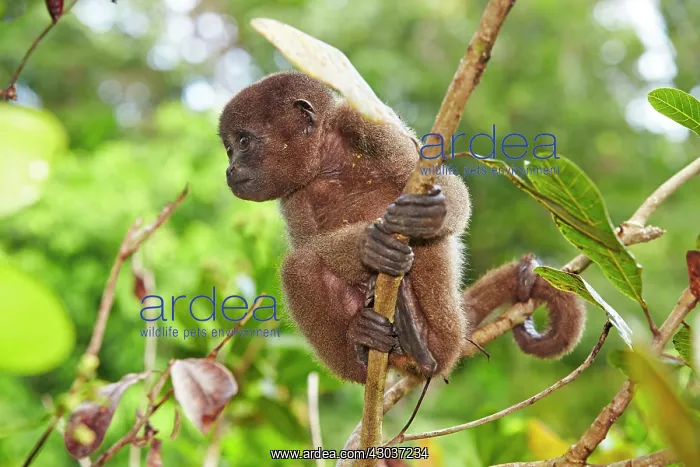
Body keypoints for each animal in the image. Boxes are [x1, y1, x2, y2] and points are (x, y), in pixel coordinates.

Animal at [218, 71, 586, 384]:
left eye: (244, 143)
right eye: (229, 149)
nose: (230, 169)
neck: (326, 160)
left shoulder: (366, 124)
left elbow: (439, 186)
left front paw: (432, 214)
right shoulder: (293, 194)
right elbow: (309, 245)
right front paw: (368, 246)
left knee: (426, 243)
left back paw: (426, 343)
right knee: (300, 268)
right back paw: (363, 345)